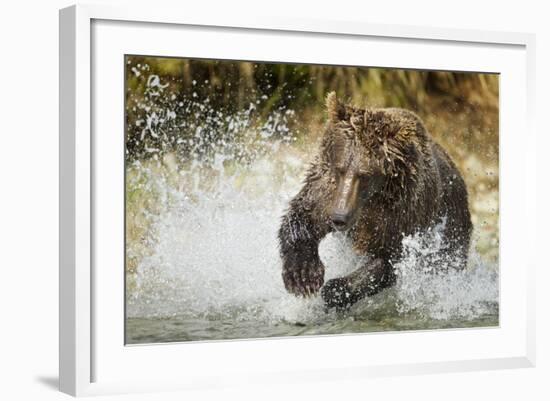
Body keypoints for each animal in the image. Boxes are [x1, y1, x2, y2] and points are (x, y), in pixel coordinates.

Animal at [280, 92, 474, 308]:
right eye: (340, 169)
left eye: (364, 175)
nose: (339, 218)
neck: (372, 198)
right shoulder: (327, 190)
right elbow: (304, 215)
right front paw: (303, 276)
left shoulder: (404, 214)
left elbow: (390, 261)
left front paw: (336, 288)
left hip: (452, 227)